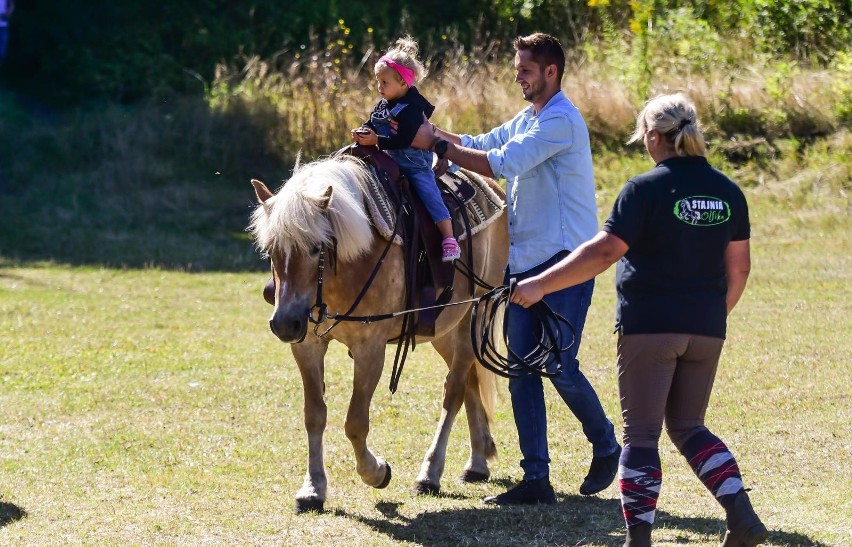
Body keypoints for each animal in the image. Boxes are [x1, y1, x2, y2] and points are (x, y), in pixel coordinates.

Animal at [250, 154, 510, 512]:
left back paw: (430, 473)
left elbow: (356, 423)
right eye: (271, 249)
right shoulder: (307, 345)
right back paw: (477, 462)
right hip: (445, 329)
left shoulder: (370, 348)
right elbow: (314, 415)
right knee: (469, 383)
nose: (285, 323)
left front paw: (376, 472)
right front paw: (313, 489)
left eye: (317, 248)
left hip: (476, 314)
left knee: (454, 390)